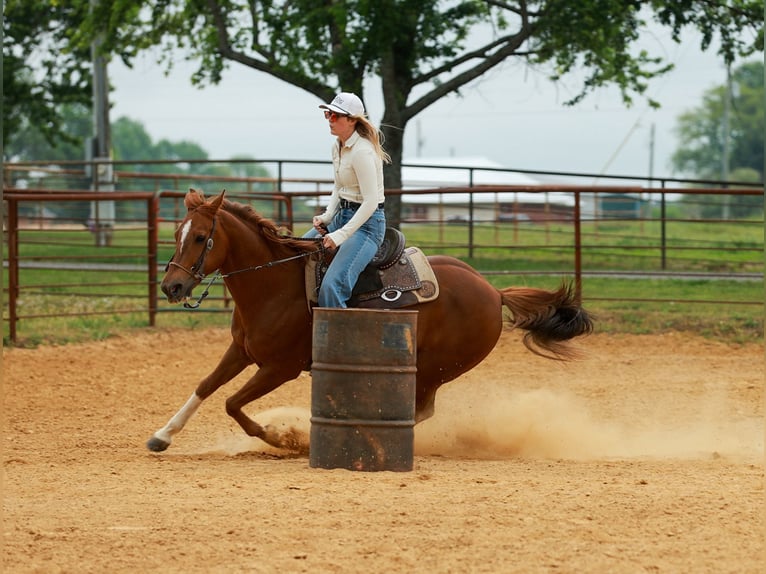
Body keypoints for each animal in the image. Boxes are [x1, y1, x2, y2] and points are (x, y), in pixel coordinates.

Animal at [148, 189, 593, 452]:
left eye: (201, 237)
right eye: (177, 232)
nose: (171, 286)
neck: (274, 284)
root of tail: (493, 291)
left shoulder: (280, 368)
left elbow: (232, 403)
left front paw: (285, 438)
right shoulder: (241, 351)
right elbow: (206, 387)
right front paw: (163, 435)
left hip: (435, 367)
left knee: (421, 409)